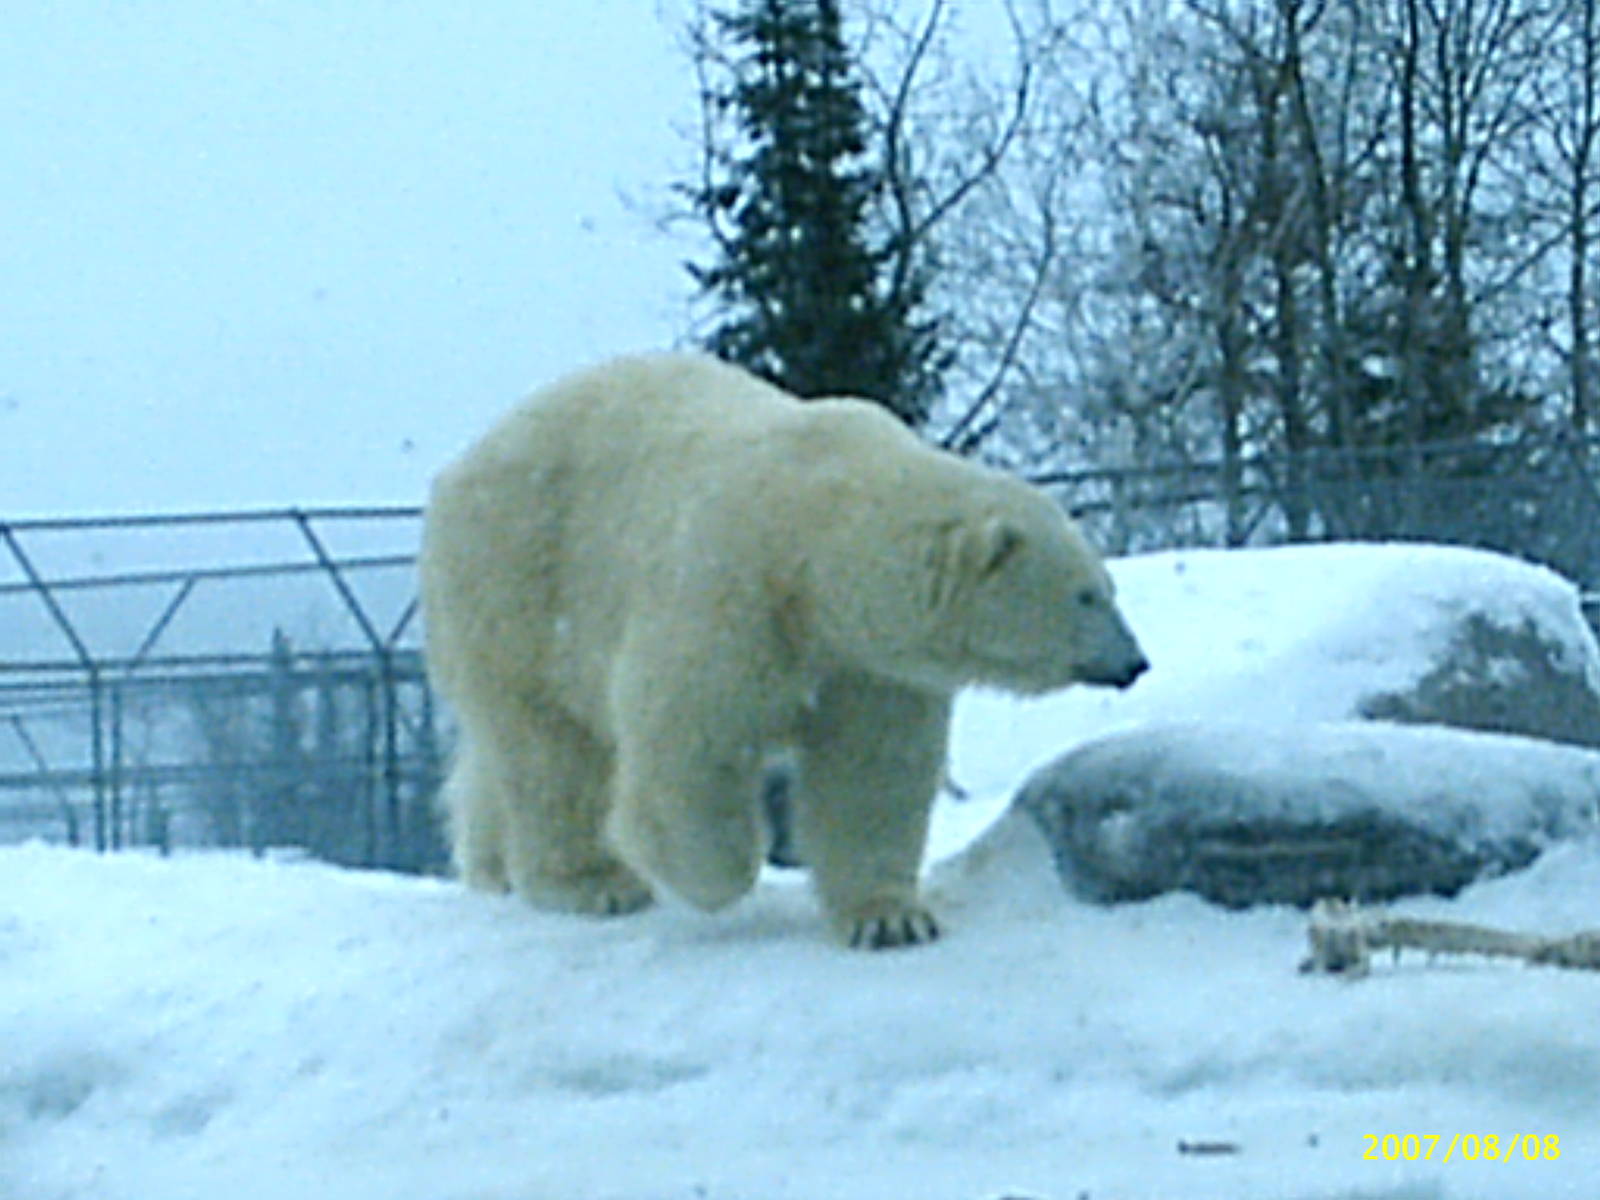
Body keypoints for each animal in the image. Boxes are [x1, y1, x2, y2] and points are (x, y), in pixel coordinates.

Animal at [419, 352, 1147, 949]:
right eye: (1085, 595)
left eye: (1107, 586)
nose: (1134, 662)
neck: (817, 541)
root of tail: (461, 465)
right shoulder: (729, 595)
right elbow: (690, 744)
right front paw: (716, 875)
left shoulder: (869, 665)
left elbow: (871, 772)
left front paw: (890, 919)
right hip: (516, 581)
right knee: (551, 752)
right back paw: (595, 883)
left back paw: (493, 868)